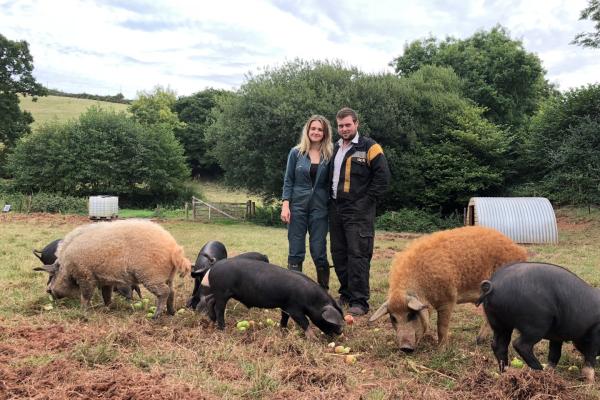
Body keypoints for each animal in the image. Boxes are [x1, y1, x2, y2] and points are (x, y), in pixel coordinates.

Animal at [199, 256, 344, 338]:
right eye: (333, 322)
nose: (340, 332)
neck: (312, 300)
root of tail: (213, 267)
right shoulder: (295, 308)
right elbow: (305, 322)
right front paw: (313, 339)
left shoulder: (286, 306)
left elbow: (284, 319)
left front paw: (283, 331)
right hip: (222, 292)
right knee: (219, 308)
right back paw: (222, 328)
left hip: (221, 292)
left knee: (209, 300)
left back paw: (212, 320)